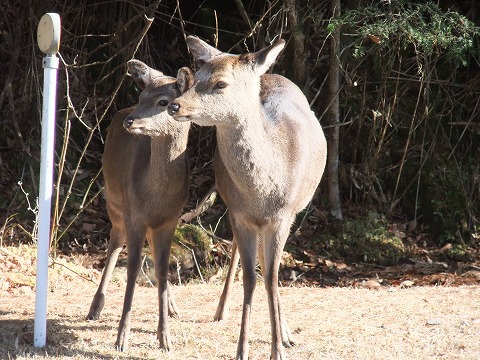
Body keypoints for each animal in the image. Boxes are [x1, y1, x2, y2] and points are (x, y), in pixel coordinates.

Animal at [86, 59, 193, 352]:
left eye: (164, 102)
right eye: (141, 96)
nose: (130, 121)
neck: (155, 196)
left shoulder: (170, 219)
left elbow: (164, 270)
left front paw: (165, 337)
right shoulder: (134, 214)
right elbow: (132, 270)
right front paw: (121, 338)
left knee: (155, 257)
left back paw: (173, 308)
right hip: (114, 202)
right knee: (113, 245)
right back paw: (95, 308)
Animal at [167, 37, 328, 360]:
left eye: (220, 84)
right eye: (196, 76)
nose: (175, 105)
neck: (261, 192)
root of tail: (270, 74)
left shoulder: (282, 216)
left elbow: (271, 278)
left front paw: (277, 349)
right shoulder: (241, 214)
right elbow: (251, 279)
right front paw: (242, 349)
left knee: (269, 270)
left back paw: (287, 334)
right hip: (232, 207)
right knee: (240, 258)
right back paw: (221, 310)